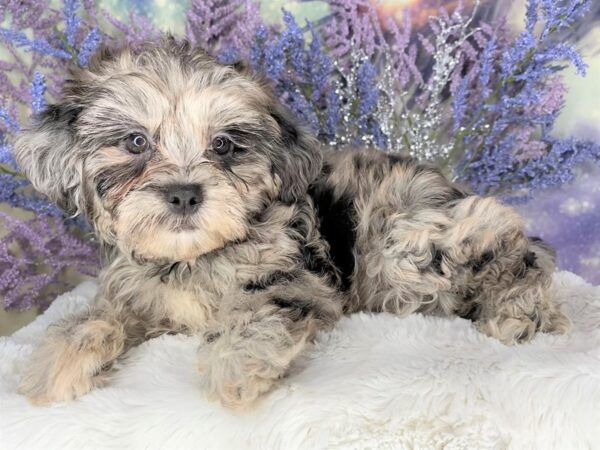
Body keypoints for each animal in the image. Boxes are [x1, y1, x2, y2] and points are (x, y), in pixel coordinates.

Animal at [12, 38, 568, 410]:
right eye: (134, 142)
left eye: (224, 145)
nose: (185, 194)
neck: (193, 258)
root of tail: (447, 187)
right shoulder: (135, 295)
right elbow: (95, 317)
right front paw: (56, 364)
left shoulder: (295, 278)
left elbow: (258, 311)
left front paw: (234, 366)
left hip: (408, 240)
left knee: (522, 248)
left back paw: (520, 312)